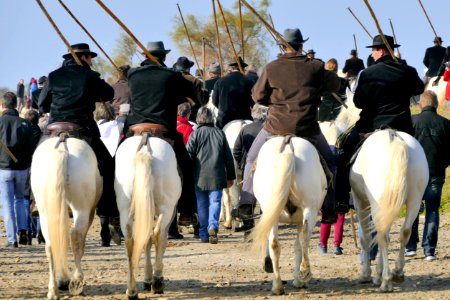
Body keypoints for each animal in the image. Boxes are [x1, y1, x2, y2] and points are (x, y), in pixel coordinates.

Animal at [31, 137, 101, 298]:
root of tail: (63, 148)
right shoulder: (90, 213)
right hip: (81, 210)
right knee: (76, 237)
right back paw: (77, 281)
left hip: (45, 213)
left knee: (50, 244)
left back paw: (53, 290)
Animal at [115, 135, 182, 298]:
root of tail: (145, 149)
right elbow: (157, 240)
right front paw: (151, 279)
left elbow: (146, 240)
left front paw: (146, 279)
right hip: (166, 209)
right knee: (158, 234)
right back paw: (157, 281)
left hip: (125, 211)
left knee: (130, 241)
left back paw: (132, 290)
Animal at [250, 137, 326, 296]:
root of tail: (287, 147)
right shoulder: (301, 220)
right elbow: (298, 245)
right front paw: (298, 280)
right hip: (310, 210)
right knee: (304, 239)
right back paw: (304, 272)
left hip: (271, 212)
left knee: (274, 244)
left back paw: (277, 286)